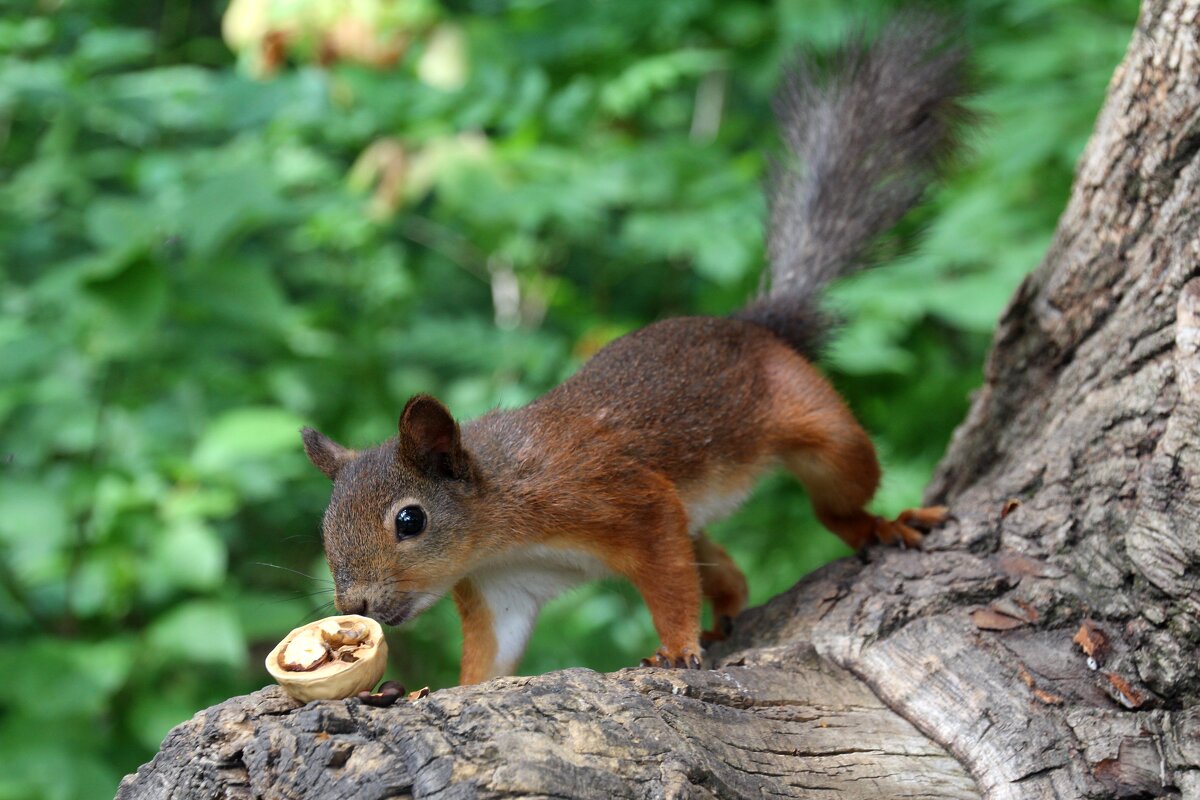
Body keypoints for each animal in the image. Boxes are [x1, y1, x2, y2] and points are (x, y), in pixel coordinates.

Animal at [302, 15, 974, 686]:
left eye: (409, 520)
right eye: (325, 526)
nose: (356, 605)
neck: (499, 521)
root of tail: (753, 326)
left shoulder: (622, 499)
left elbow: (669, 580)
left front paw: (675, 648)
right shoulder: (500, 586)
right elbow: (492, 656)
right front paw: (445, 691)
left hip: (819, 426)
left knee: (836, 497)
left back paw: (879, 525)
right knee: (725, 566)